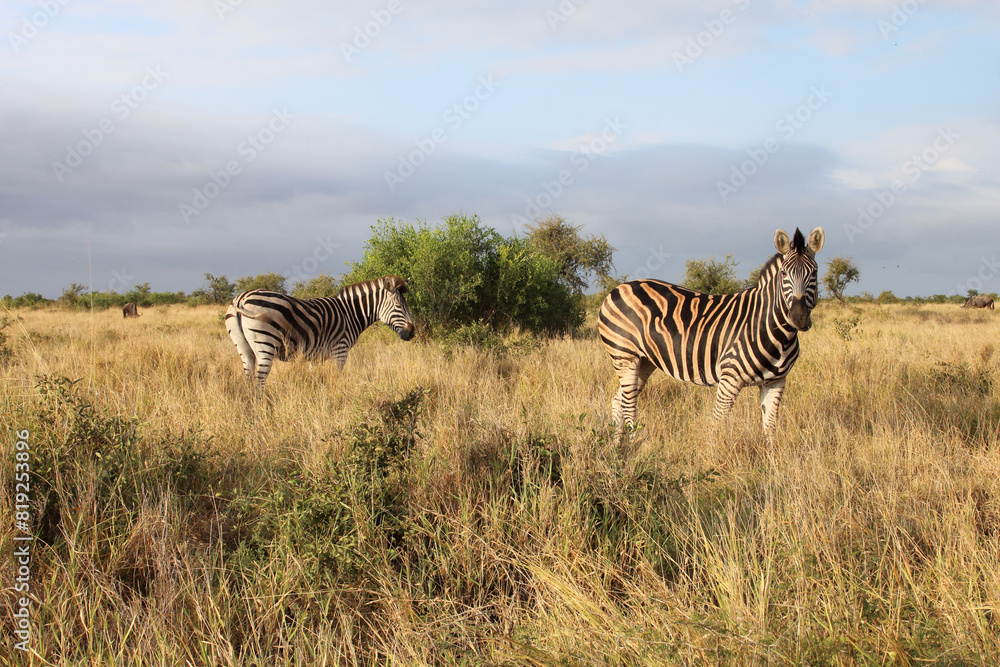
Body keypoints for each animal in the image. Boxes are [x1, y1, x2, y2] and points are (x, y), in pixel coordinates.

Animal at [225, 275, 415, 389]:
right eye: (399, 306)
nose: (412, 332)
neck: (350, 313)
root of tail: (241, 298)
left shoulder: (314, 355)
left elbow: (314, 378)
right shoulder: (340, 349)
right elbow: (337, 376)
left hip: (244, 348)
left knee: (249, 378)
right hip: (265, 343)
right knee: (259, 381)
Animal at [598, 227, 824, 439]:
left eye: (814, 273)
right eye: (784, 274)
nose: (798, 318)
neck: (779, 336)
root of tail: (618, 288)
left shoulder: (776, 382)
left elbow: (770, 427)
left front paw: (770, 455)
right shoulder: (729, 378)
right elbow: (718, 424)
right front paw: (714, 454)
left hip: (645, 361)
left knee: (618, 400)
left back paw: (619, 446)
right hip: (625, 355)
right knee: (628, 405)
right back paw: (634, 444)